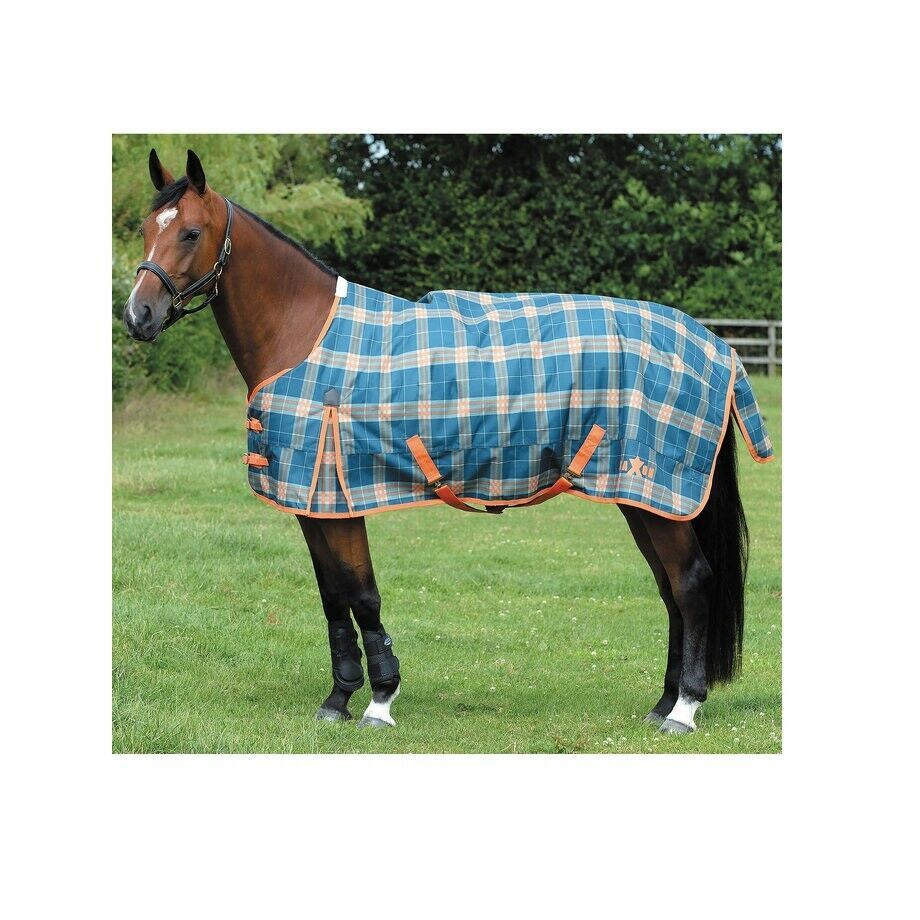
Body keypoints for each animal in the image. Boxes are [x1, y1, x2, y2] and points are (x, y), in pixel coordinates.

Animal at [122, 148, 774, 734]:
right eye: (145, 229)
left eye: (191, 232)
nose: (138, 316)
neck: (303, 334)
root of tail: (719, 347)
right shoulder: (312, 503)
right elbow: (333, 598)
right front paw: (338, 699)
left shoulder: (340, 497)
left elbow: (362, 593)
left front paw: (380, 700)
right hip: (640, 497)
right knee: (670, 590)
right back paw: (662, 704)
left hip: (658, 494)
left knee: (691, 584)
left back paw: (684, 710)